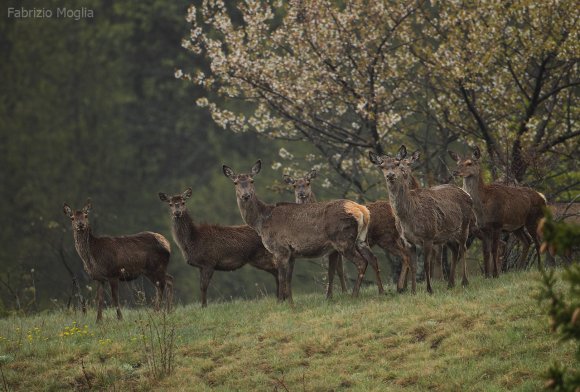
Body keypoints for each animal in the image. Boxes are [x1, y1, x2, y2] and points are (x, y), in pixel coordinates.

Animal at [223, 159, 386, 304]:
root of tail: (362, 210)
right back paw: (381, 292)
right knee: (373, 258)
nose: (245, 195)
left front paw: (281, 303)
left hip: (343, 239)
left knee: (361, 262)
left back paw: (354, 296)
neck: (261, 222)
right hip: (361, 239)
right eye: (235, 182)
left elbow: (281, 277)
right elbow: (289, 278)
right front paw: (291, 302)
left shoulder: (280, 248)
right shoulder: (292, 253)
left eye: (252, 181)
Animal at [282, 171, 412, 294]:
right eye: (294, 185)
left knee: (404, 254)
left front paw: (341, 292)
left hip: (386, 237)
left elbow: (337, 270)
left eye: (308, 183)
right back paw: (399, 288)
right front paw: (342, 291)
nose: (301, 193)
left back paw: (400, 287)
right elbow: (339, 269)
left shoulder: (336, 247)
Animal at [372, 145, 476, 292]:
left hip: (464, 224)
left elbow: (426, 264)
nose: (390, 175)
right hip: (447, 235)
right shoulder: (408, 241)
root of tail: (467, 194)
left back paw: (464, 281)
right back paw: (450, 283)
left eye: (397, 163)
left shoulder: (428, 236)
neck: (408, 217)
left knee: (463, 248)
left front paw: (429, 289)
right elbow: (414, 266)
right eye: (382, 166)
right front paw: (413, 291)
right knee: (455, 250)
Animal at [448, 145, 544, 278]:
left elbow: (494, 249)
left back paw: (540, 267)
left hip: (533, 219)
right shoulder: (483, 227)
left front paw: (495, 274)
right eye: (457, 163)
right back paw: (519, 269)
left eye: (469, 163)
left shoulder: (497, 224)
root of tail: (543, 197)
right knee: (527, 241)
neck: (483, 205)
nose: (455, 172)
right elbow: (486, 251)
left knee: (538, 242)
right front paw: (487, 275)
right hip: (517, 226)